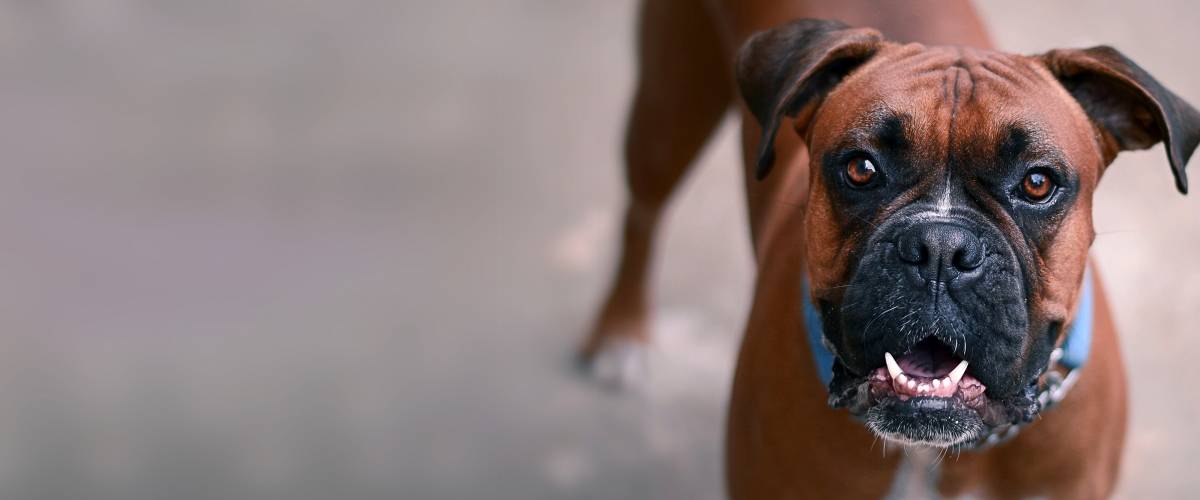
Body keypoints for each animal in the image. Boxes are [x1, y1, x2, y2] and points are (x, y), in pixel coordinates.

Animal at [576, 1, 1195, 496]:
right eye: (861, 169)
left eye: (1038, 183)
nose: (941, 248)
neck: (936, 453)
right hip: (666, 113)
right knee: (641, 216)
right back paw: (619, 333)